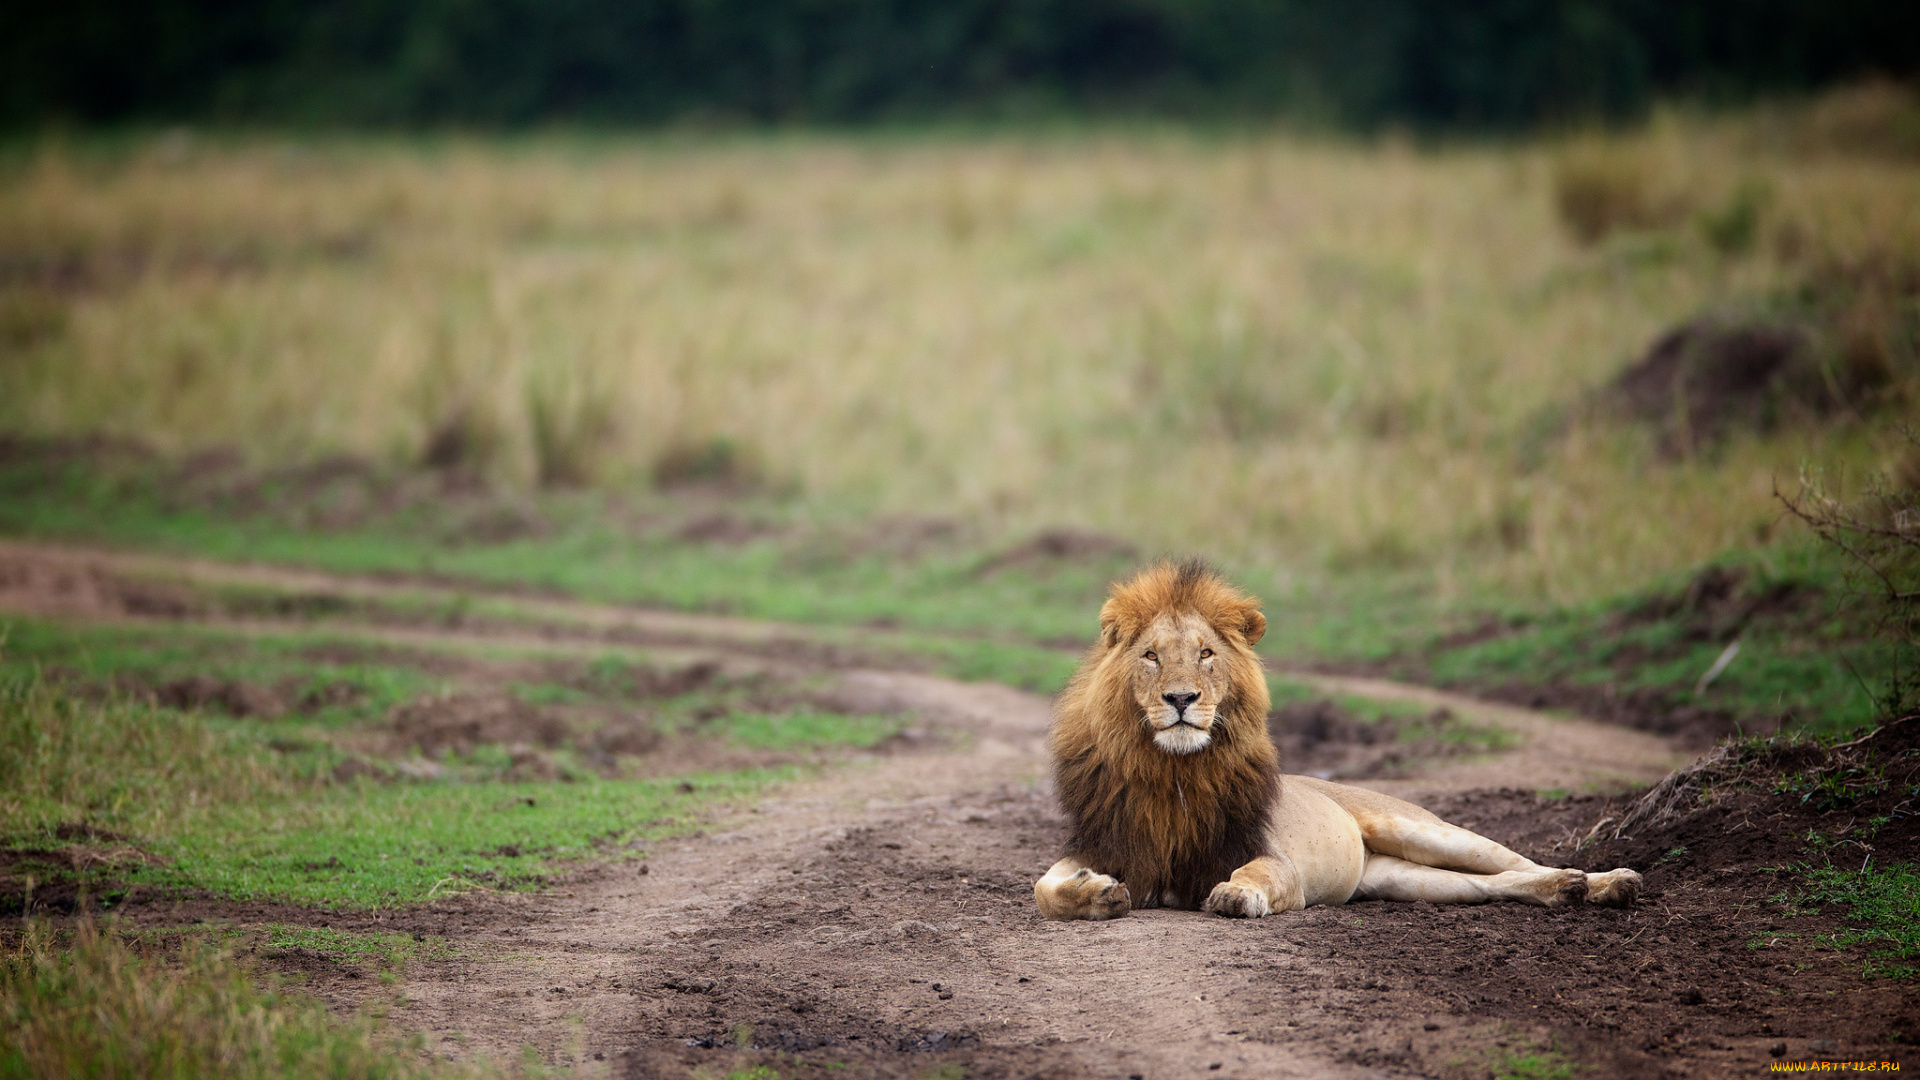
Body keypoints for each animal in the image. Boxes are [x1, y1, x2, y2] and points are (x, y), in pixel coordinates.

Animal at [1036, 557, 1635, 922]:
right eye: (1151, 656)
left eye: (1206, 654)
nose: (1180, 699)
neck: (1174, 772)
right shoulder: (1105, 843)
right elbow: (1043, 889)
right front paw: (1097, 891)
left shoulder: (1271, 857)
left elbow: (1255, 872)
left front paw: (1235, 893)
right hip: (1409, 880)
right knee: (1494, 884)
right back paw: (1566, 890)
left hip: (1422, 829)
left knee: (1516, 860)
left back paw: (1605, 881)